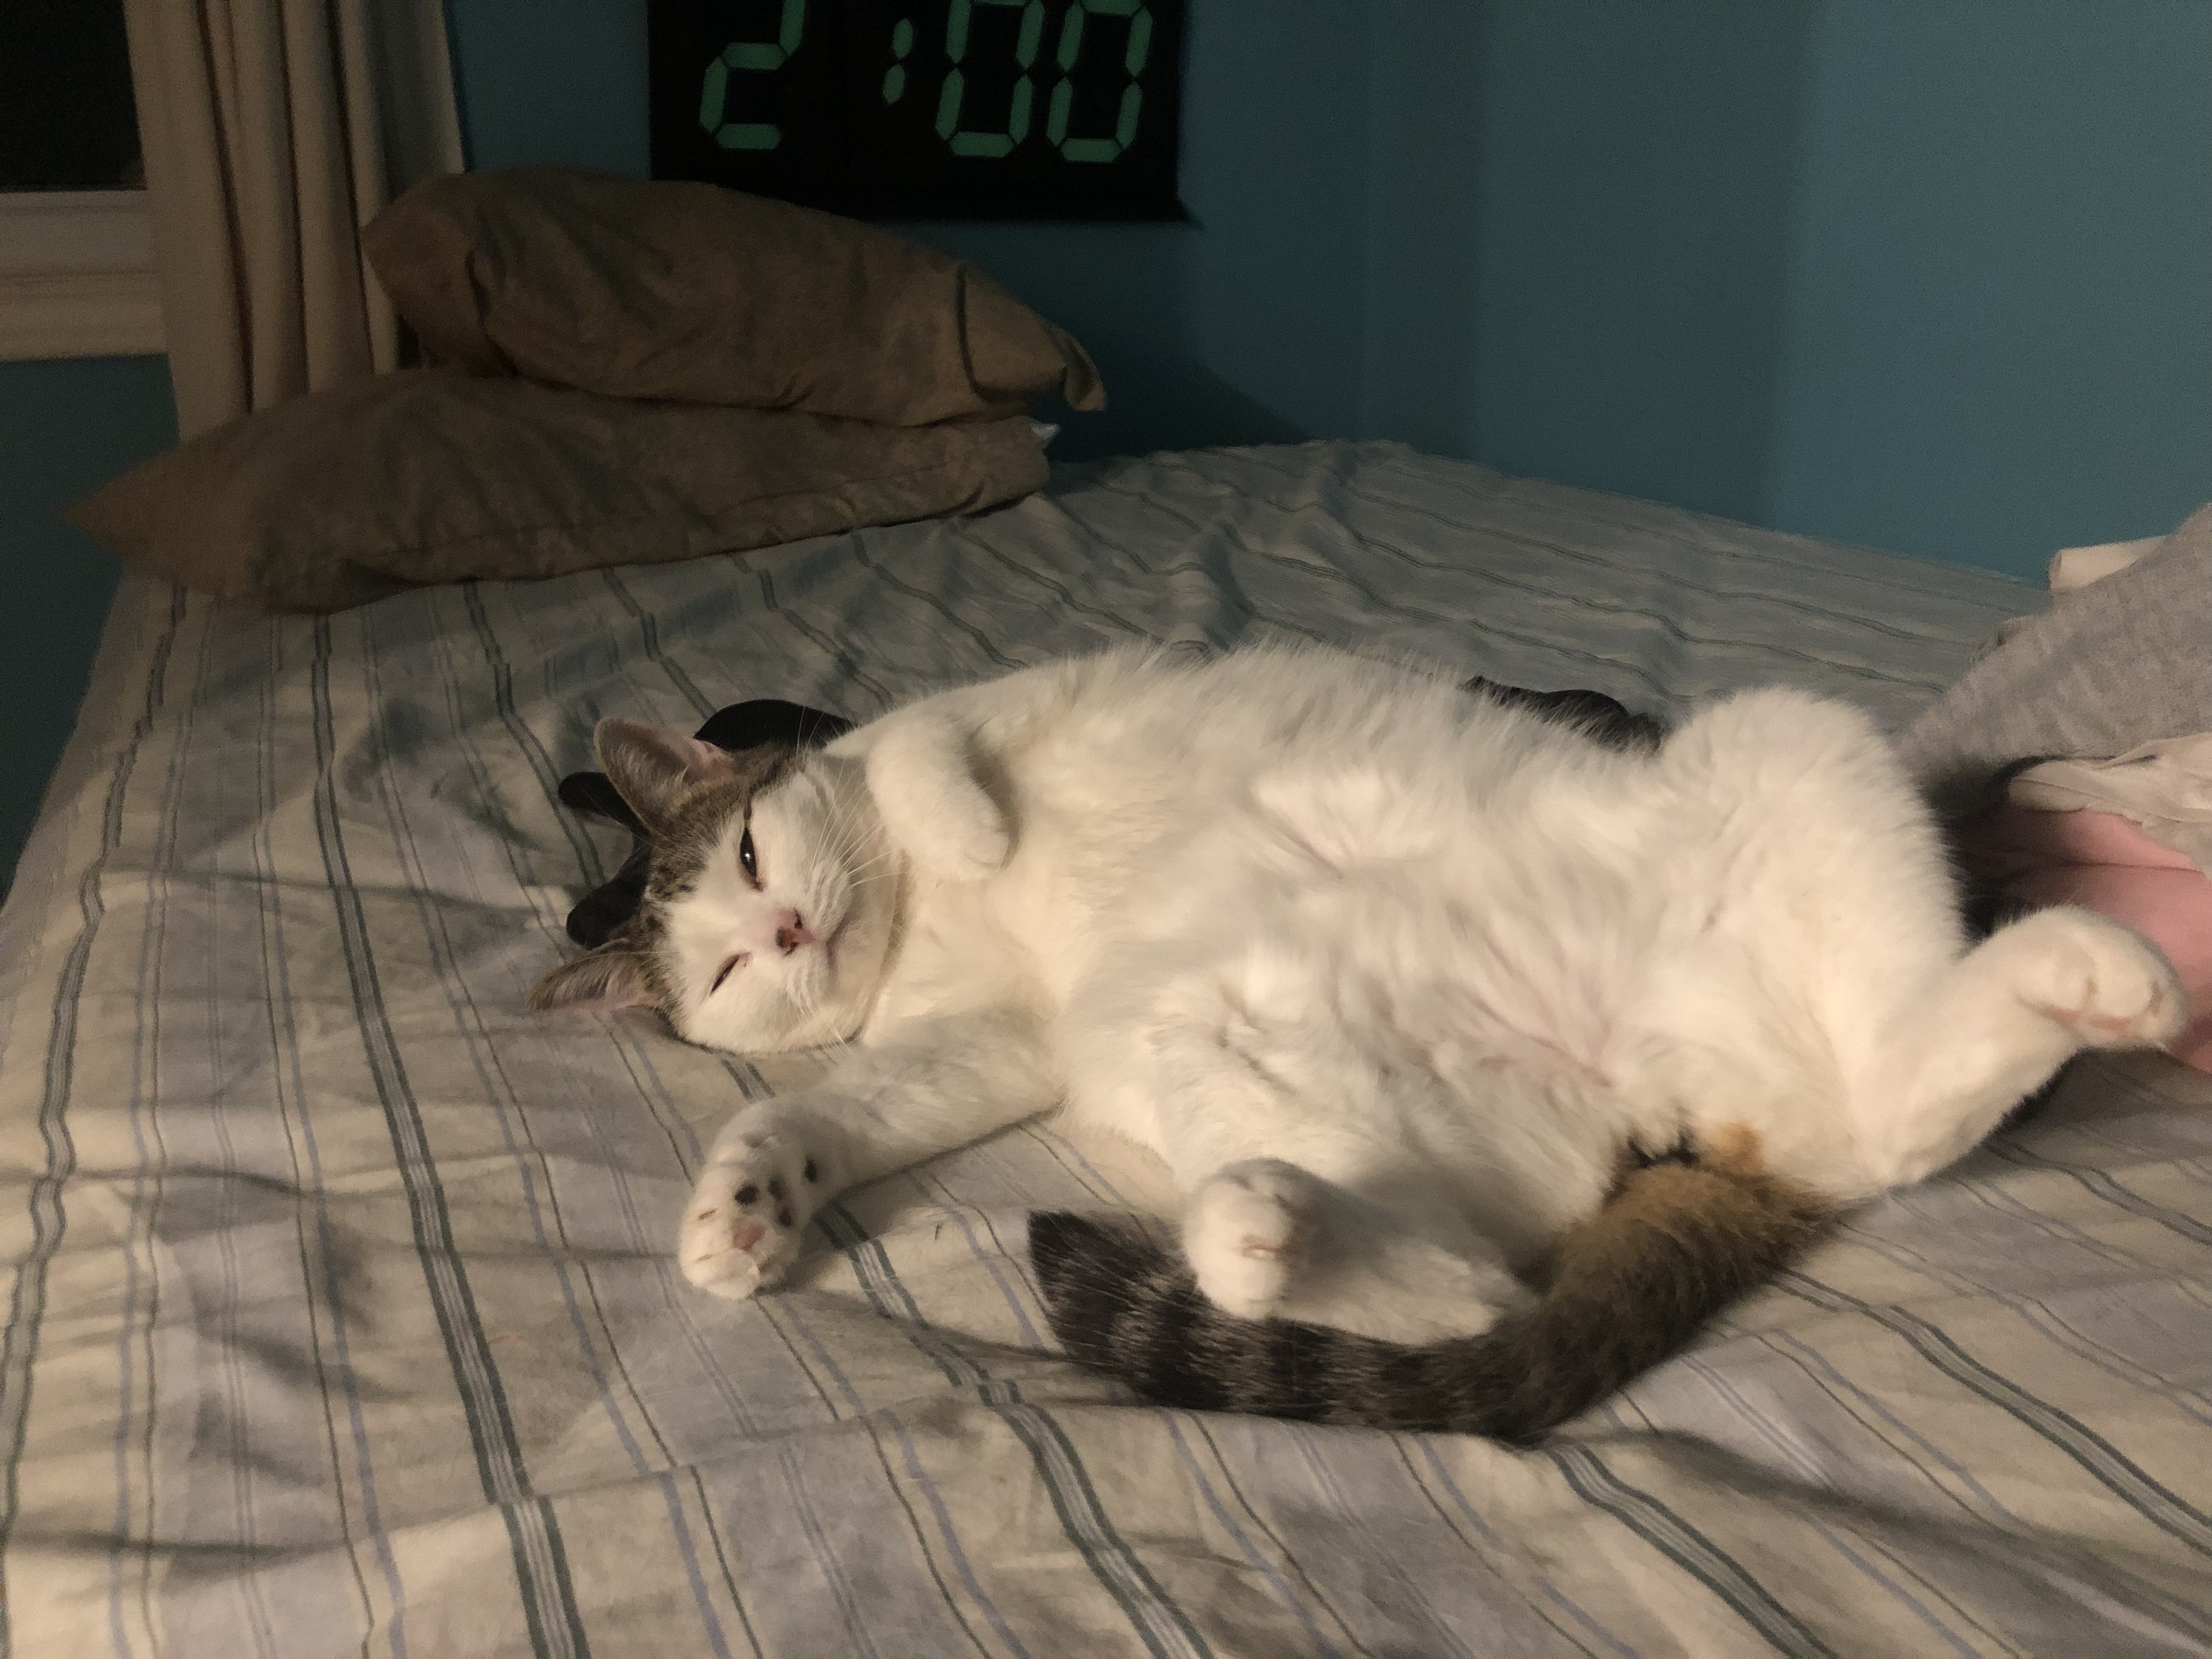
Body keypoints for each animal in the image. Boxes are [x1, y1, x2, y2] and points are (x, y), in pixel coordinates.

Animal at [530, 644, 2184, 1439]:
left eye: (753, 856)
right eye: (724, 973)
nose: (787, 938)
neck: (916, 925)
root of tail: (1654, 1092)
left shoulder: (989, 706)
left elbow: (924, 753)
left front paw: (970, 824)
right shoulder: (988, 1047)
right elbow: (822, 1114)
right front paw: (744, 1209)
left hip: (1790, 735)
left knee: (1880, 1108)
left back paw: (2097, 965)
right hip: (1167, 1048)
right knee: (1471, 1293)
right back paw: (1260, 1236)